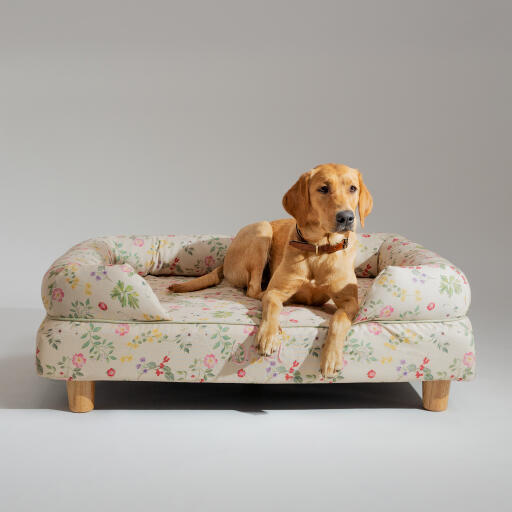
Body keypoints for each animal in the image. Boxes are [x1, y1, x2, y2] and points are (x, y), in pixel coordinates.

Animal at [170, 164, 374, 376]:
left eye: (353, 188)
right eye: (323, 189)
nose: (346, 217)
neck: (319, 250)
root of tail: (225, 260)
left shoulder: (350, 302)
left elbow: (339, 320)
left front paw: (332, 357)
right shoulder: (277, 291)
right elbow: (272, 306)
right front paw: (268, 335)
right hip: (262, 231)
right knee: (254, 289)